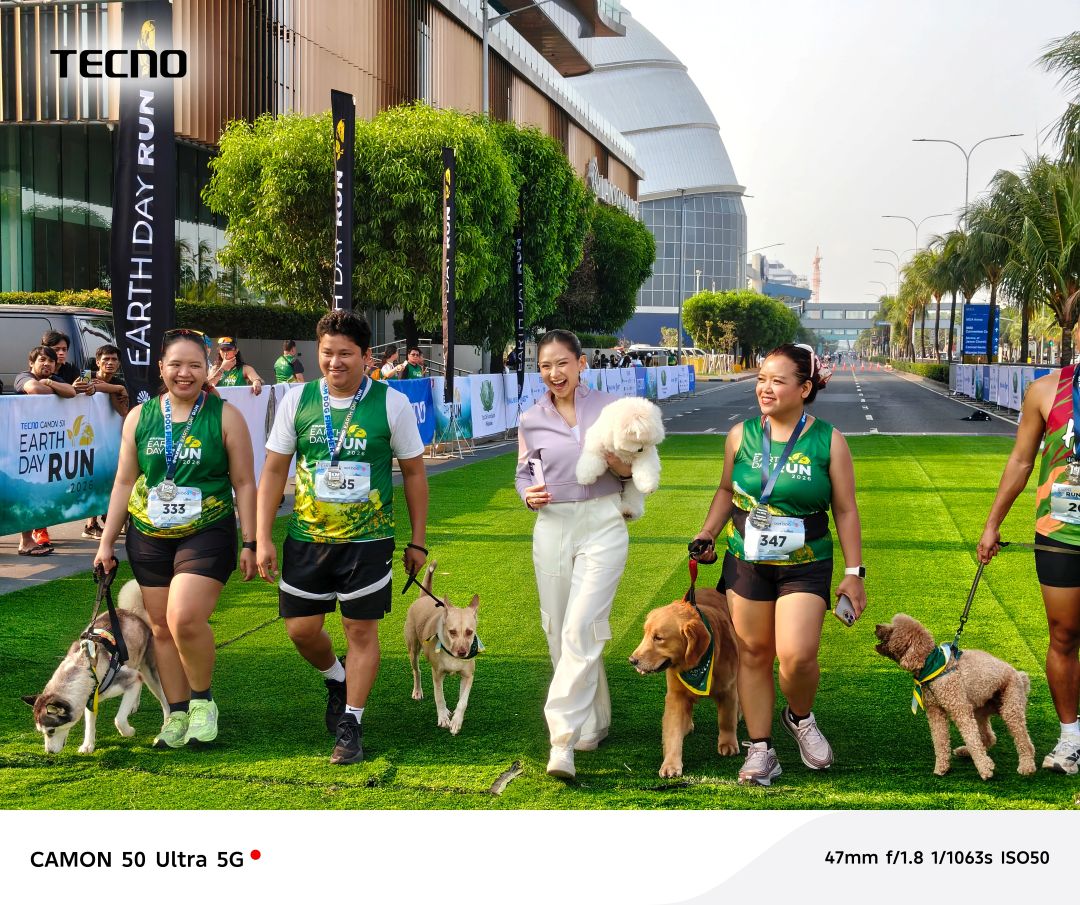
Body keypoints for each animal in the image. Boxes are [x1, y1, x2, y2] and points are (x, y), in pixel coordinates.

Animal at [22, 580, 168, 754]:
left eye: (51, 730)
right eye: (41, 732)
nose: (49, 752)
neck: (84, 667)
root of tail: (134, 613)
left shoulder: (129, 678)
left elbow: (119, 719)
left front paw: (128, 731)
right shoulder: (90, 699)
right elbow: (89, 725)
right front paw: (88, 745)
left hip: (150, 672)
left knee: (163, 697)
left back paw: (167, 723)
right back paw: (134, 704)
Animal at [404, 561, 481, 735]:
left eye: (469, 632)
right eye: (452, 632)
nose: (462, 652)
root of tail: (424, 597)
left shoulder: (468, 676)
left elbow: (462, 701)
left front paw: (456, 721)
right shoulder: (437, 674)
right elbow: (439, 696)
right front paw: (443, 718)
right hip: (413, 649)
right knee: (416, 671)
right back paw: (418, 692)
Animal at [630, 587, 740, 777]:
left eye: (658, 638)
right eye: (645, 633)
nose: (632, 660)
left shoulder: (728, 689)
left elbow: (726, 719)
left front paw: (728, 743)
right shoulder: (675, 695)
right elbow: (673, 731)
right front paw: (671, 764)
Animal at [874, 613, 1036, 780]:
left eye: (893, 629)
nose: (877, 626)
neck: (932, 665)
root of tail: (1020, 676)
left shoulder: (960, 709)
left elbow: (971, 738)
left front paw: (985, 768)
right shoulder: (935, 712)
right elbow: (940, 740)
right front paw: (941, 767)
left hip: (1011, 707)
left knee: (1025, 742)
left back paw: (1026, 766)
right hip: (980, 710)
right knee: (988, 737)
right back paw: (965, 751)